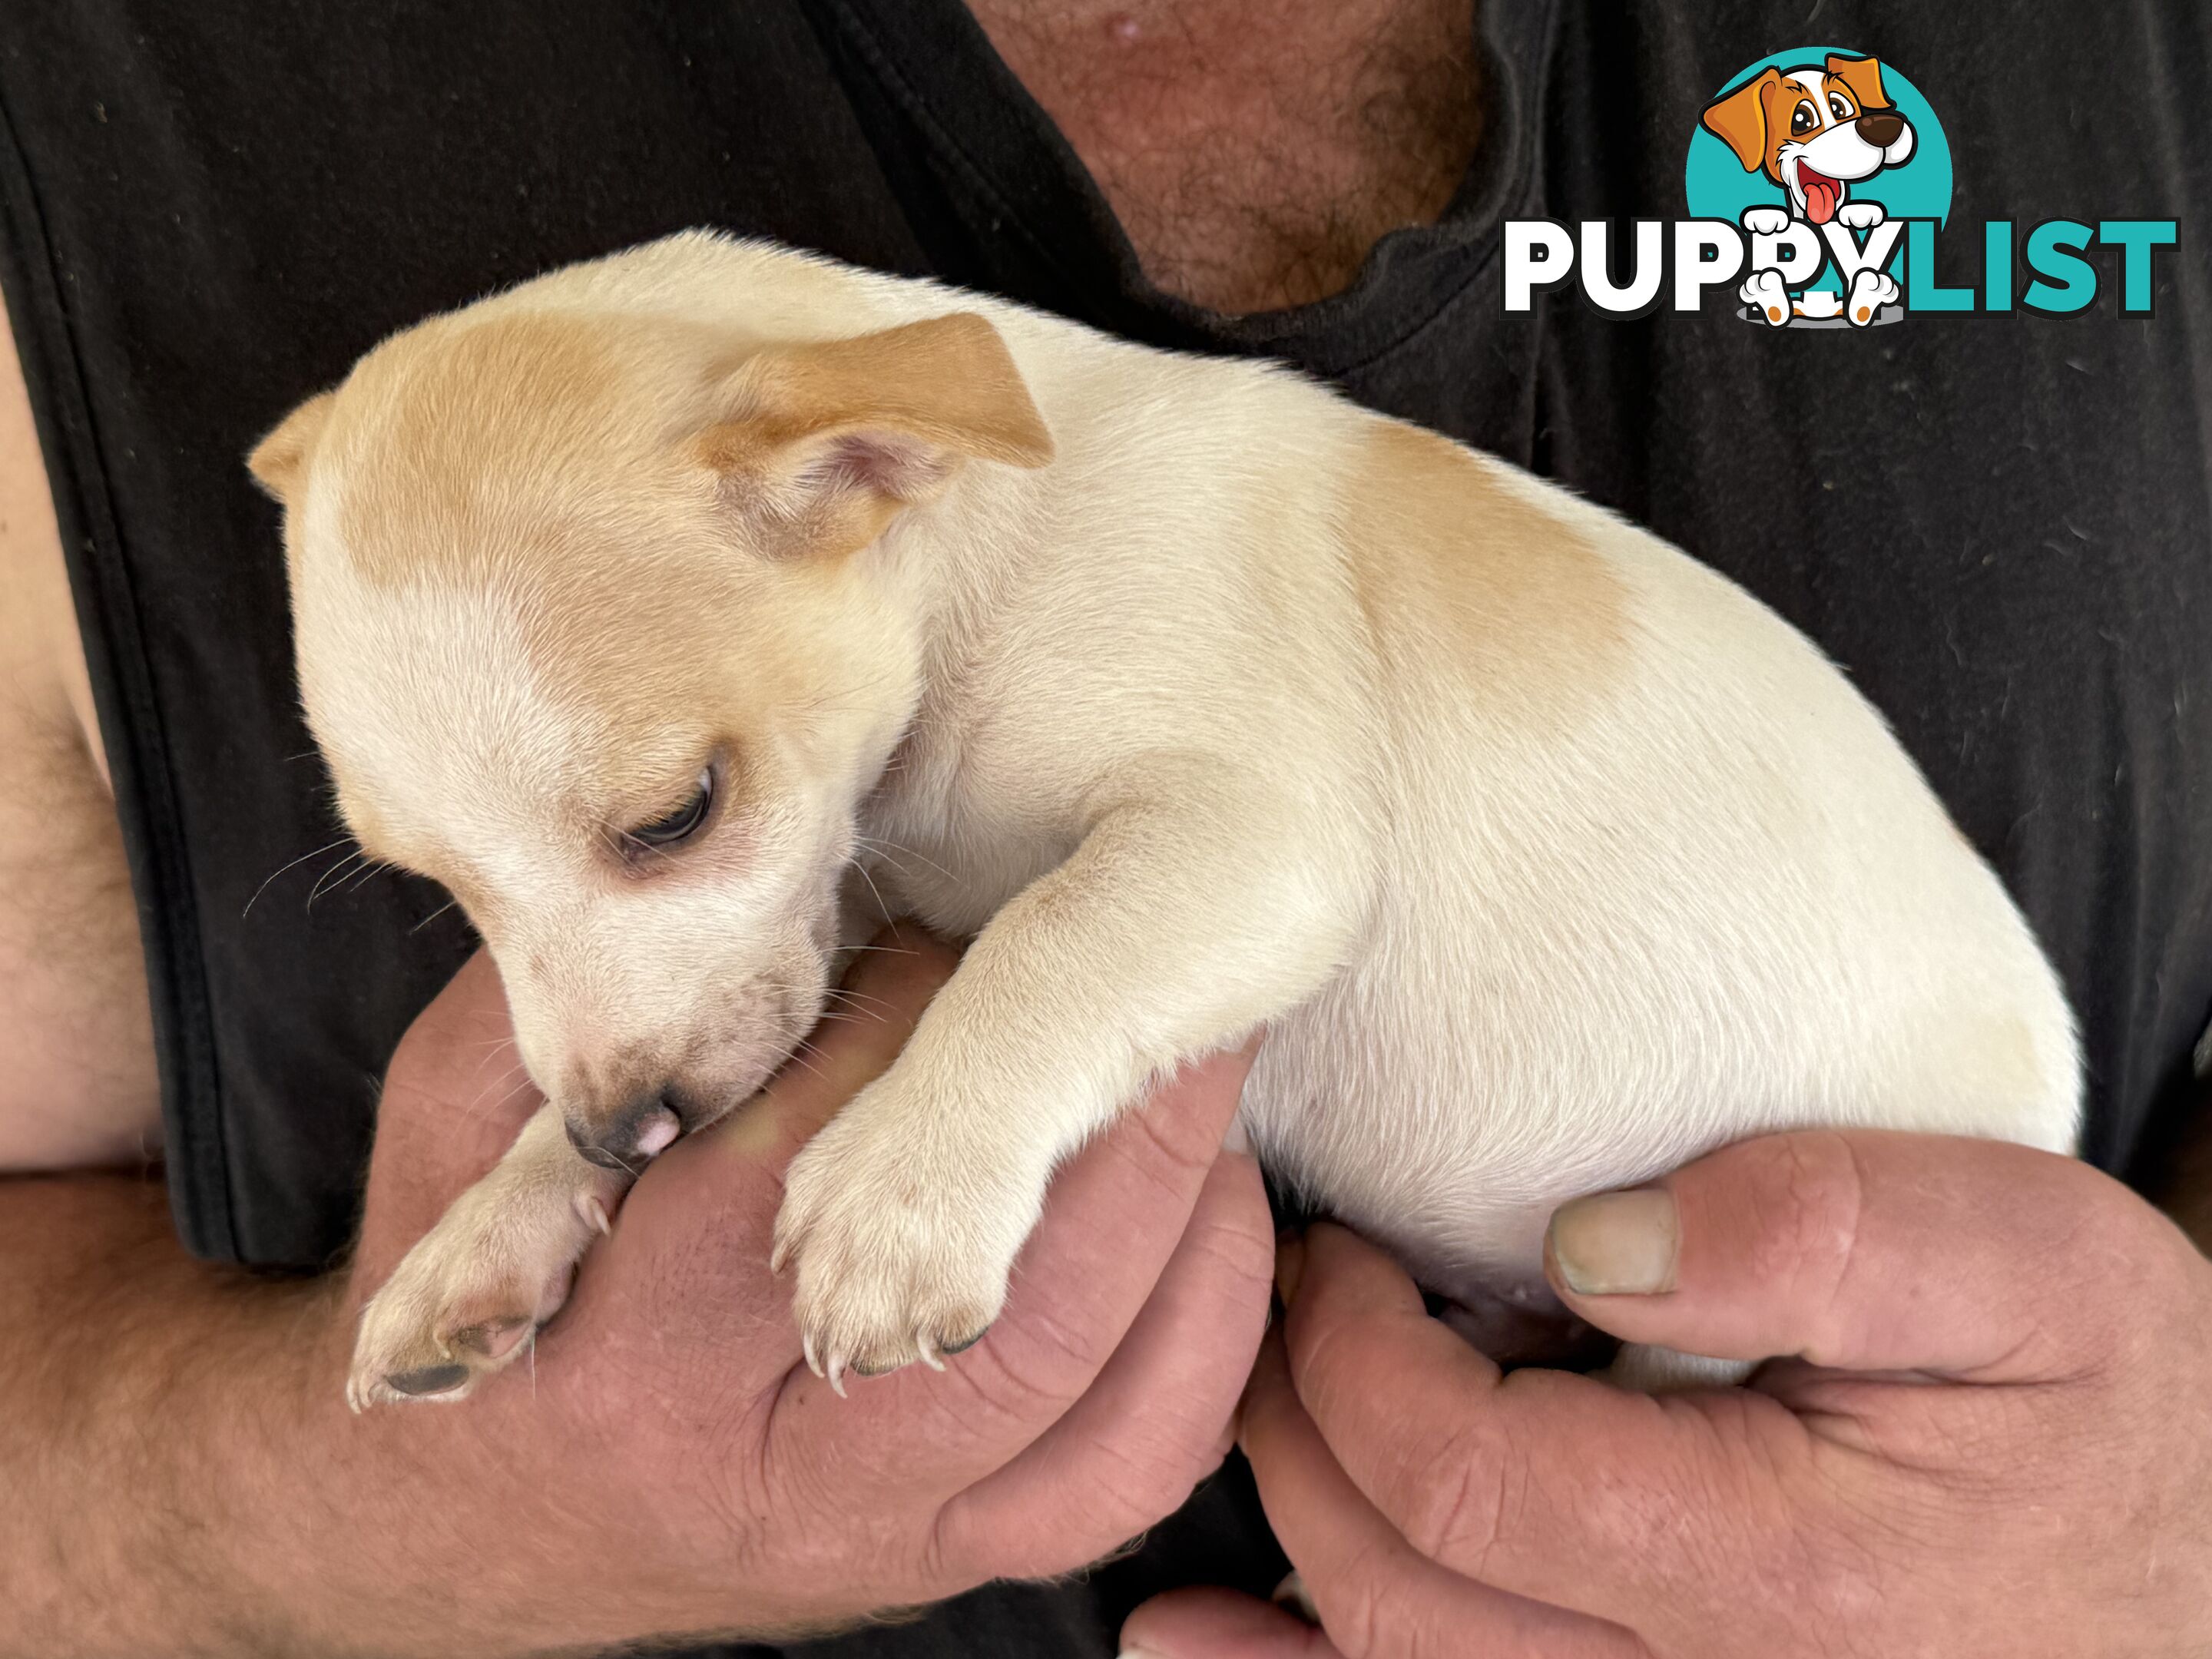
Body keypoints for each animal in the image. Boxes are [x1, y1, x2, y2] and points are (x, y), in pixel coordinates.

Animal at [250, 227, 2079, 1406]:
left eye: (675, 814)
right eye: (440, 892)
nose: (628, 1134)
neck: (980, 579)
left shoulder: (1249, 841)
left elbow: (1047, 948)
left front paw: (903, 1190)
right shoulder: (822, 912)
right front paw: (491, 1227)